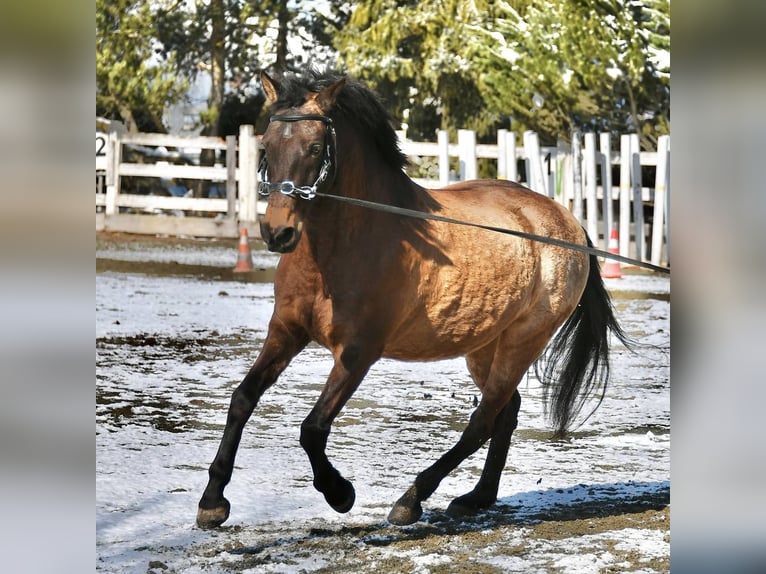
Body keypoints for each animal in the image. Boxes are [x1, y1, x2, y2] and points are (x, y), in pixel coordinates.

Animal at [197, 69, 629, 528]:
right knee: (505, 411)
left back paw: (413, 498)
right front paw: (212, 501)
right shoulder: (286, 331)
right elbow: (242, 399)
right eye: (267, 144)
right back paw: (477, 498)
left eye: (315, 148)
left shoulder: (358, 353)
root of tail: (567, 222)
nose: (278, 232)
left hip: (524, 339)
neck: (342, 248)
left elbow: (312, 429)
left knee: (483, 419)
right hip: (484, 345)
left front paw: (340, 493)